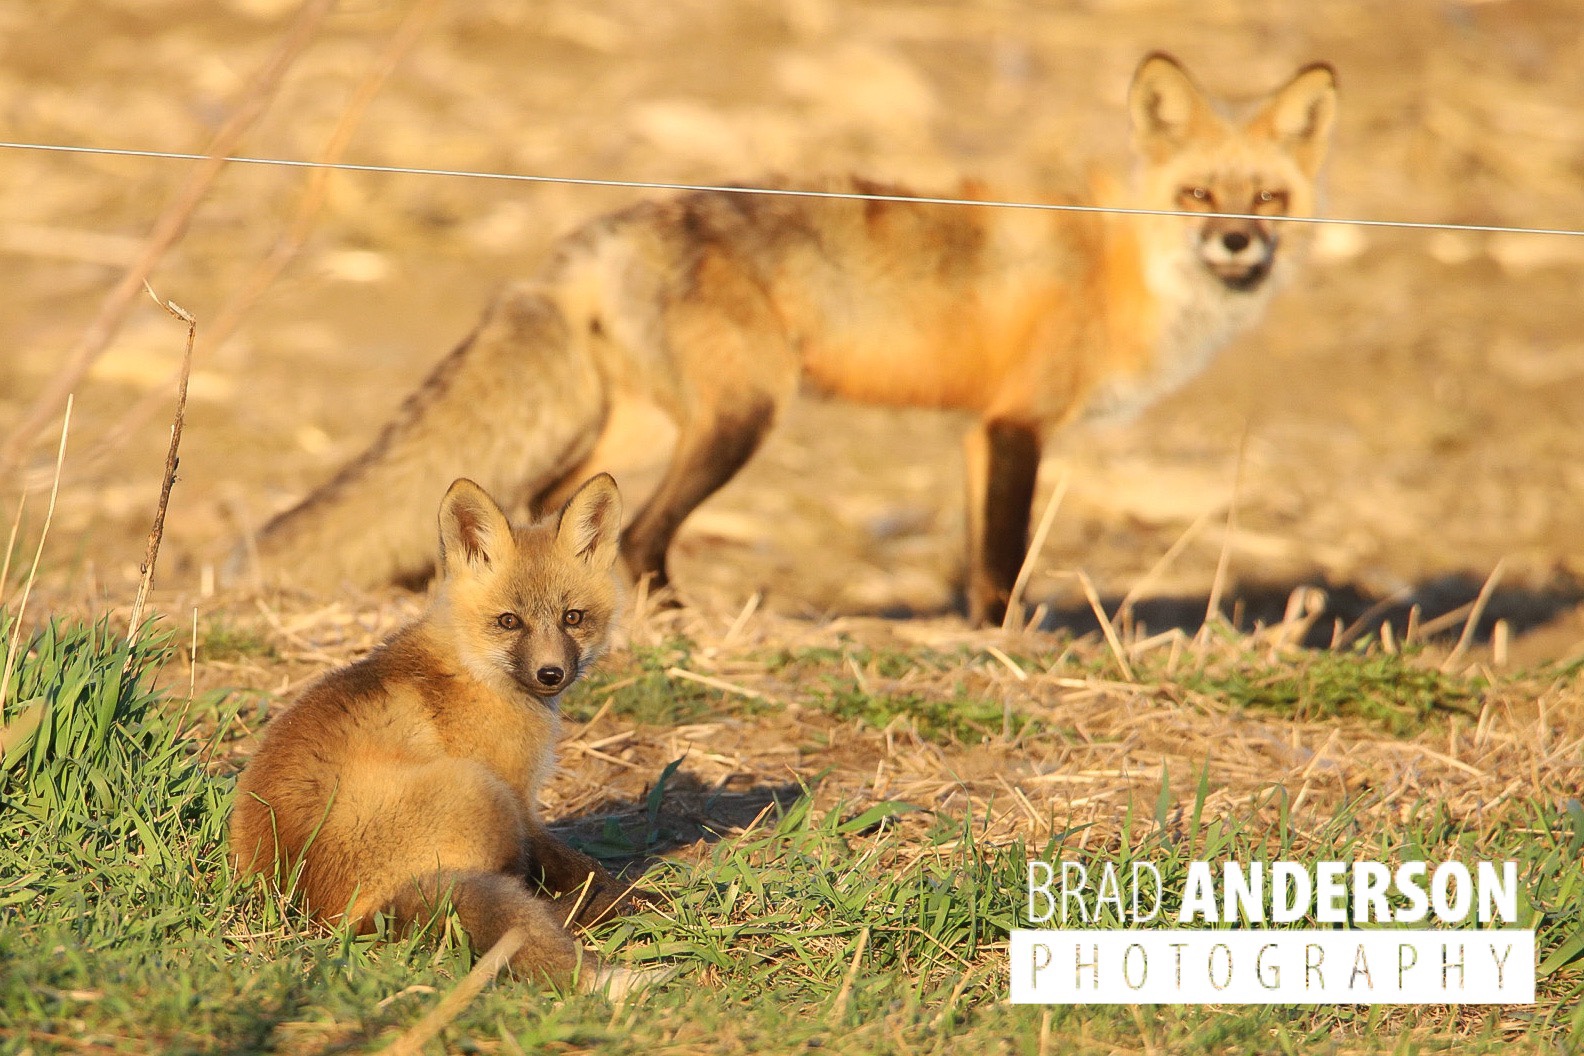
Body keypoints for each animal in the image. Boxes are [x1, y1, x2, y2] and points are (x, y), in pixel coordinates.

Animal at [229, 474, 636, 987]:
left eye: (573, 618)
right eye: (509, 622)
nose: (551, 674)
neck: (473, 669)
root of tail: (323, 916)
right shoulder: (516, 795)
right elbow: (584, 867)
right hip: (479, 792)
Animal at [247, 49, 1336, 623]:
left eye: (1268, 198)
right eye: (1197, 194)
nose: (1238, 244)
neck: (1123, 270)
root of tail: (614, 225)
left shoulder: (978, 428)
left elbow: (974, 553)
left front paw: (968, 632)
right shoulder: (1022, 421)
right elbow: (1003, 557)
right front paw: (1005, 642)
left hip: (650, 423)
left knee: (548, 507)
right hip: (742, 416)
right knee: (641, 530)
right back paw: (674, 620)